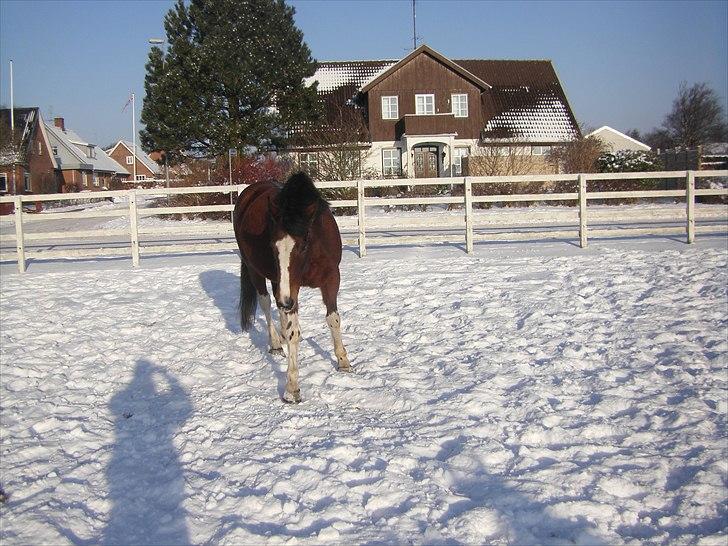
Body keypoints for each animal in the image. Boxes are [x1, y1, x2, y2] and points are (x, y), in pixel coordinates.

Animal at [232, 172, 348, 402]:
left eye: (303, 244)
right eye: (272, 246)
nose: (286, 301)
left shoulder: (331, 279)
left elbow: (333, 319)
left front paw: (343, 361)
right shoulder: (289, 288)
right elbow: (293, 330)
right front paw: (292, 388)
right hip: (257, 272)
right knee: (267, 304)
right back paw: (277, 344)